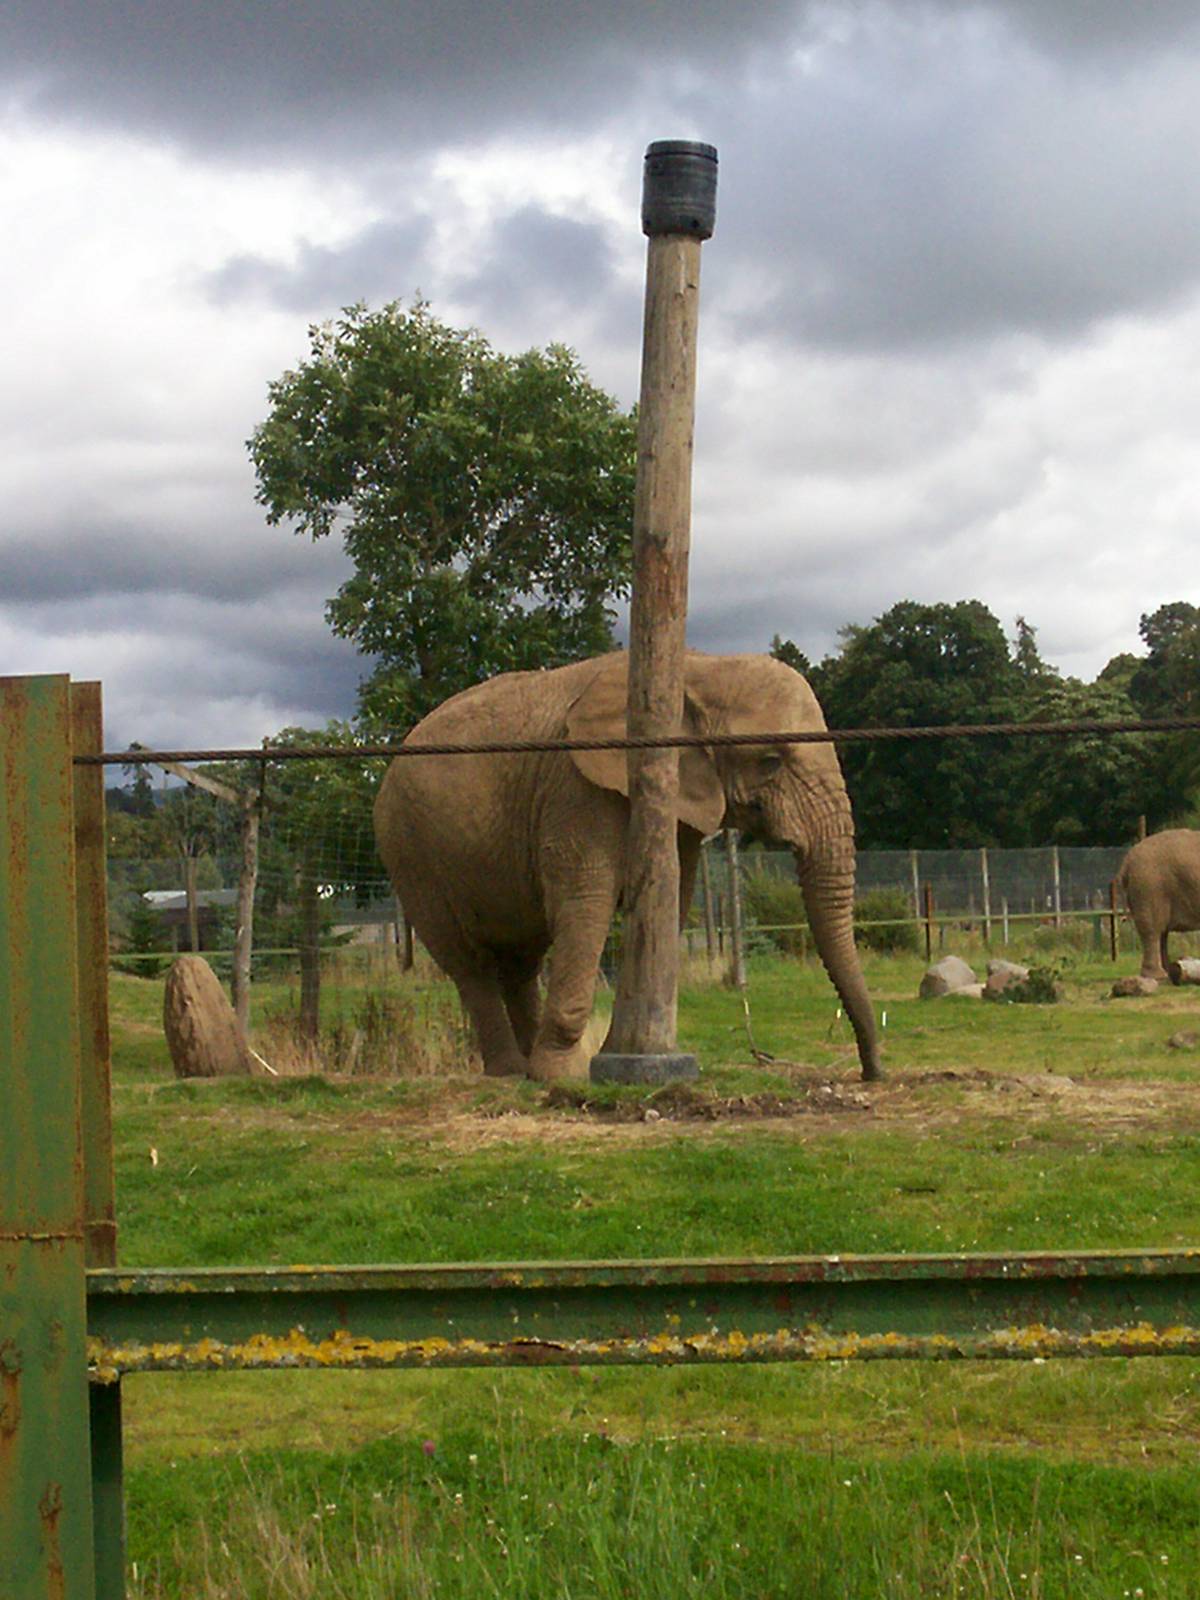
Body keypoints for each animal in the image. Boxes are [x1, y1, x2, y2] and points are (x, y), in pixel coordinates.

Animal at [373, 650, 882, 1083]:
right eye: (770, 761)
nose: (870, 1072)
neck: (700, 666)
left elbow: (668, 905)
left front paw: (616, 1057)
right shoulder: (577, 789)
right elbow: (585, 903)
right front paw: (565, 1076)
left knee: (520, 961)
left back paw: (526, 1066)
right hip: (410, 852)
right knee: (469, 964)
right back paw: (512, 1071)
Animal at [1118, 828, 1200, 980]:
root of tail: (1126, 863)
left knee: (1161, 931)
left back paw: (1169, 972)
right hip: (1150, 887)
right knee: (1153, 929)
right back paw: (1158, 976)